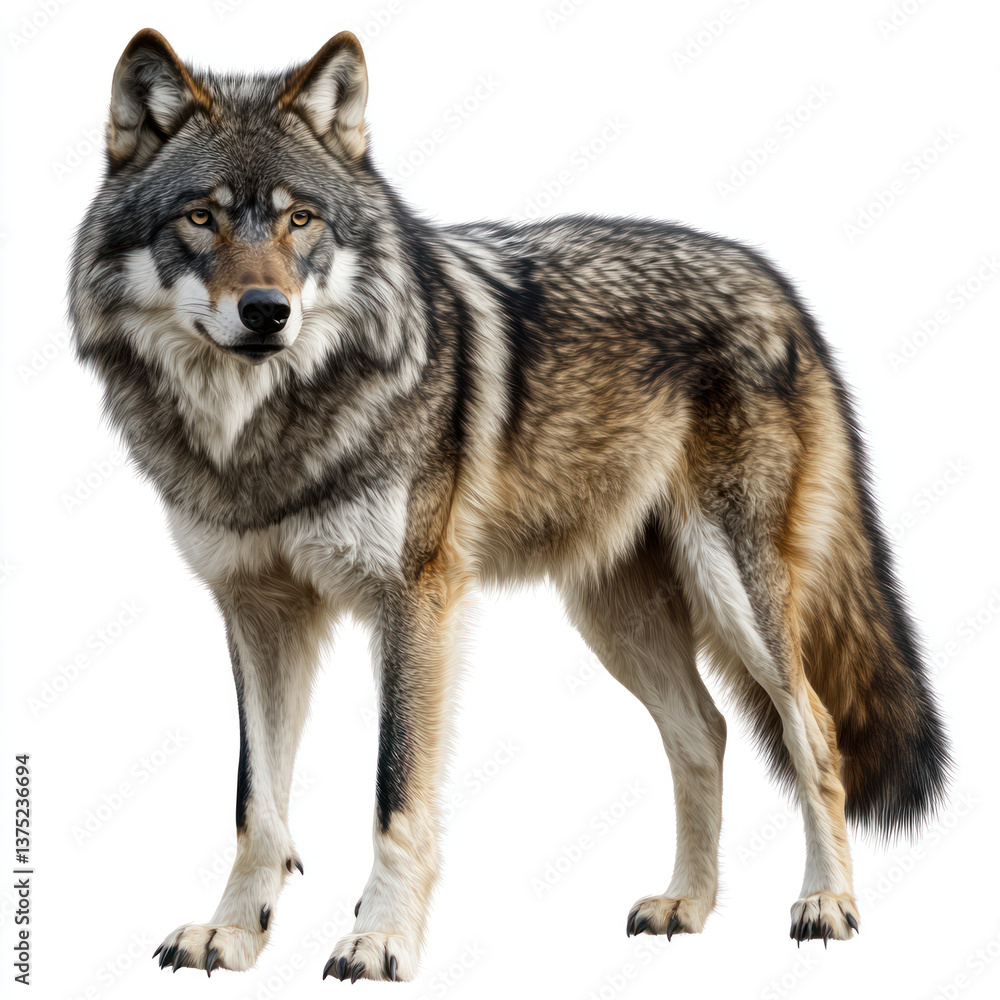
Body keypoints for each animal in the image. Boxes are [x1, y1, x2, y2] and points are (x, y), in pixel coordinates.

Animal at [69, 29, 950, 982]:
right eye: (203, 218)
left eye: (300, 220)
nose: (267, 312)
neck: (263, 433)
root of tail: (777, 284)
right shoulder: (258, 611)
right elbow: (254, 801)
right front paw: (232, 932)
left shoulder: (415, 600)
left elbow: (395, 789)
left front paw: (380, 938)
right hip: (614, 617)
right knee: (706, 731)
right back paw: (687, 904)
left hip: (733, 591)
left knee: (812, 729)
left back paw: (827, 903)